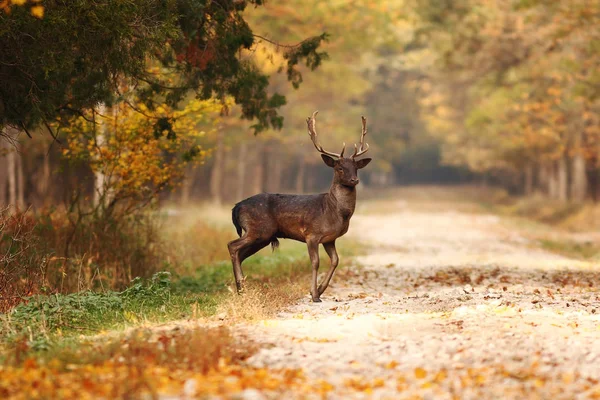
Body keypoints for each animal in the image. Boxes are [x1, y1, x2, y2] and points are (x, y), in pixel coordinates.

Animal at [229, 111, 372, 302]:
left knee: (241, 254)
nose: (354, 180)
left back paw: (242, 289)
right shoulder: (312, 234)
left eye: (356, 167)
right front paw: (314, 295)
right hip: (257, 229)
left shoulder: (330, 238)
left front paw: (320, 289)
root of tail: (236, 207)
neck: (335, 212)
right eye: (340, 167)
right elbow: (315, 262)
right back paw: (241, 288)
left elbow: (335, 261)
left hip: (263, 236)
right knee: (232, 246)